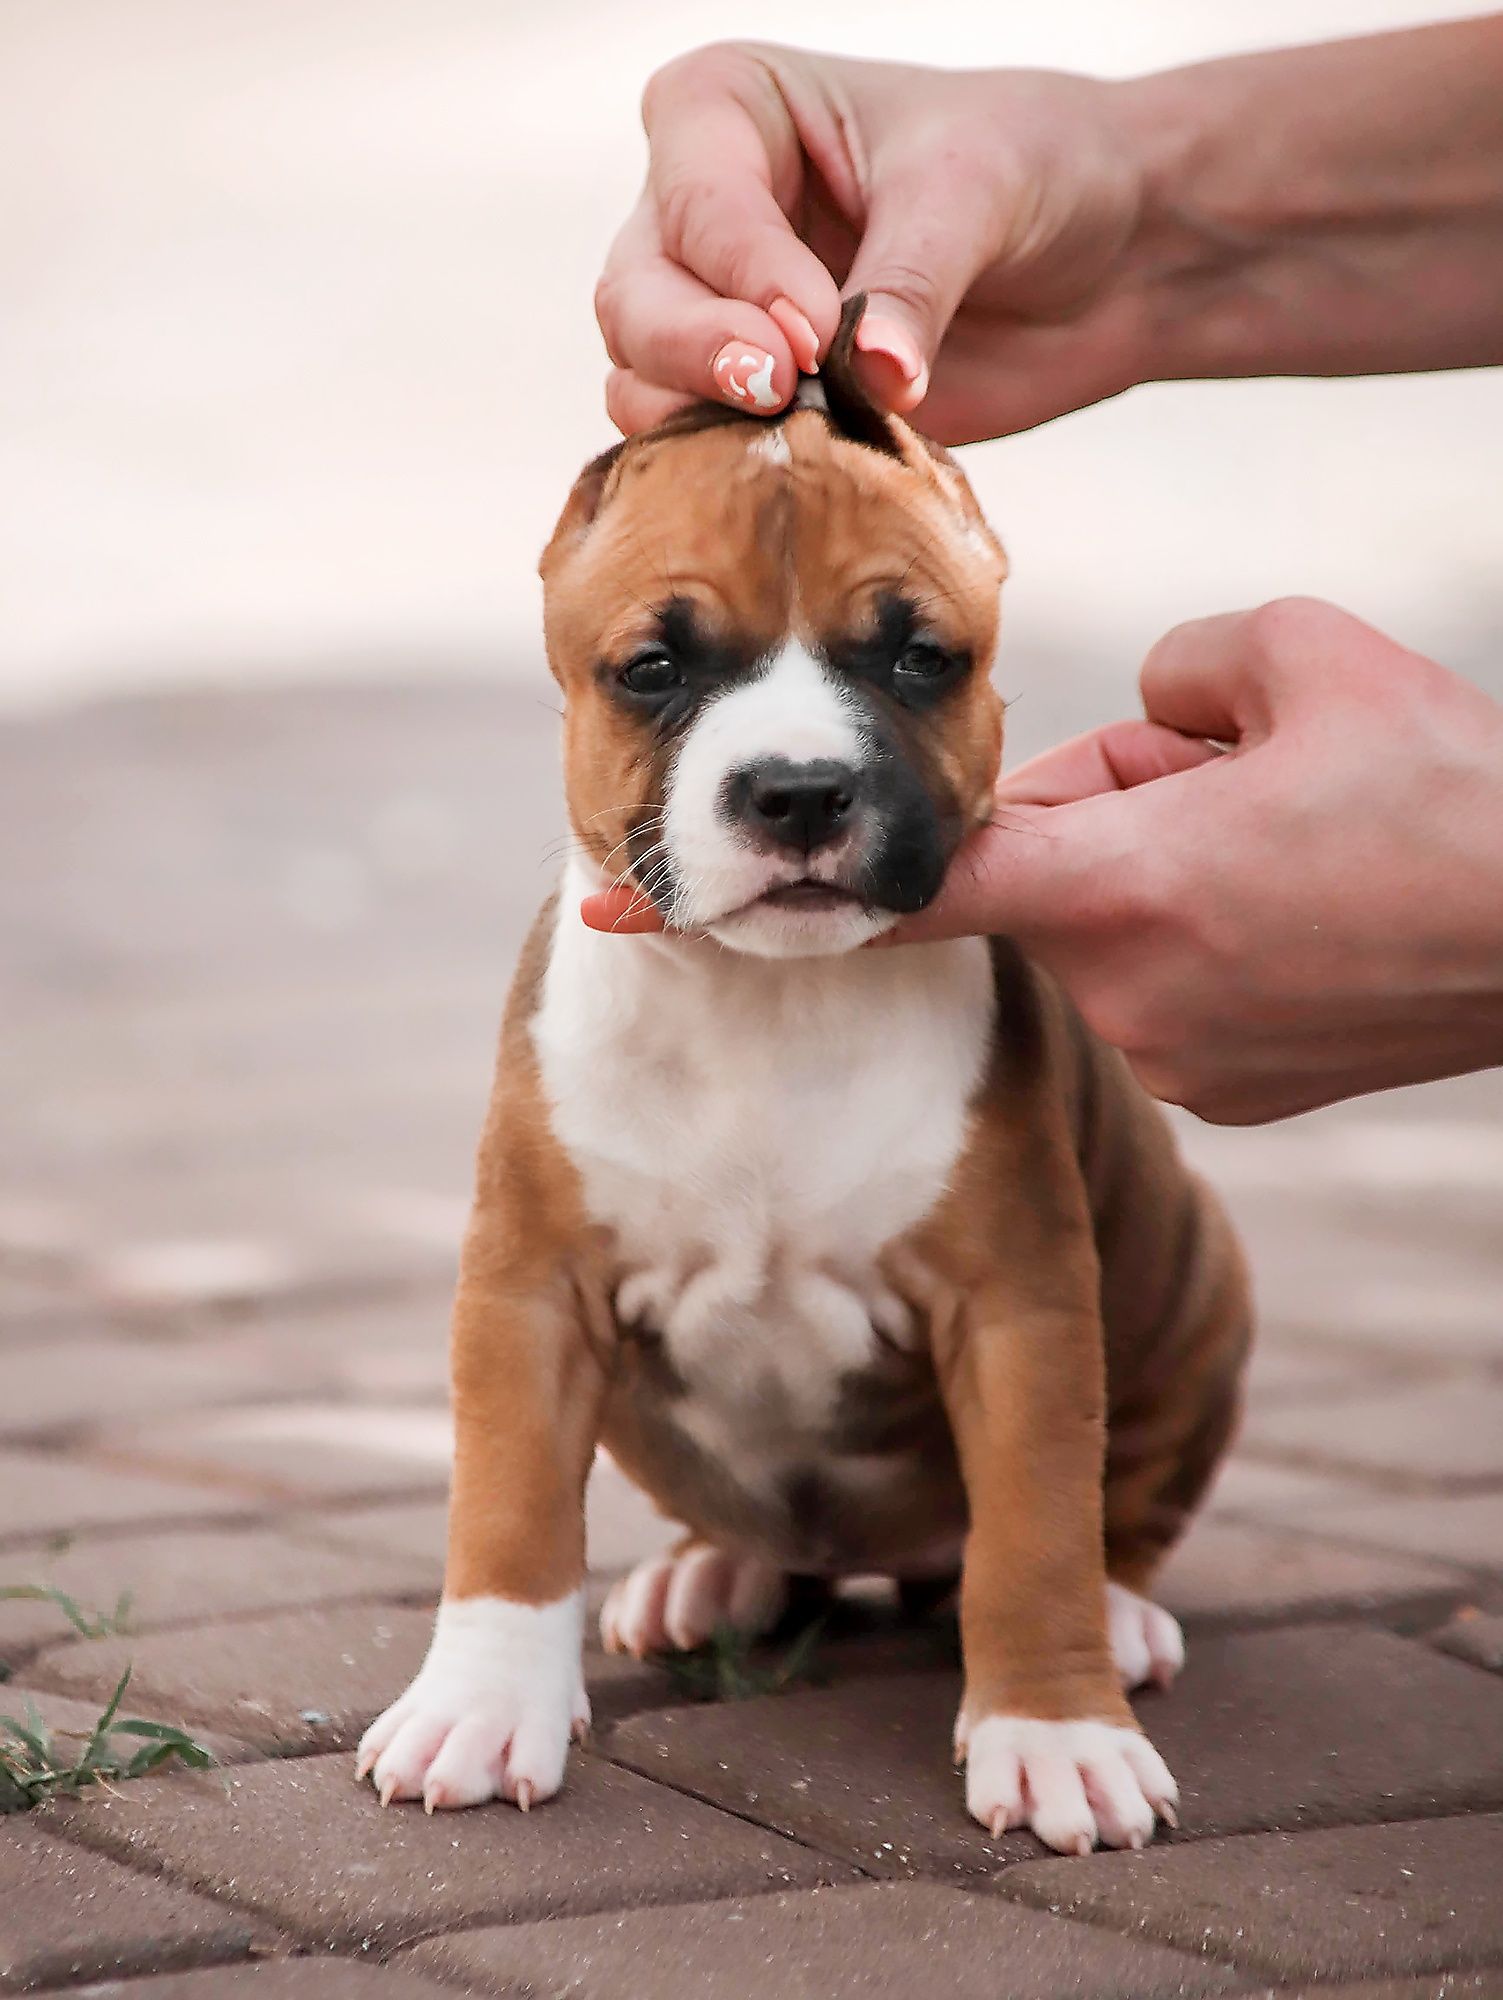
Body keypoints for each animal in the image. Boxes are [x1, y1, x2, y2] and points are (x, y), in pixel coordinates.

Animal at [357, 300, 1247, 1856]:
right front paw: (477, 1704)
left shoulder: (1015, 1310)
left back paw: (1124, 1614)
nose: (797, 791)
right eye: (654, 668)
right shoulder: (529, 1293)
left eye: (919, 658)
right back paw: (708, 1573)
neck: (767, 998)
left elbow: (1034, 1530)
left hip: (1196, 1280)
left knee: (1116, 1505)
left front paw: (1057, 1731)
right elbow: (510, 1509)